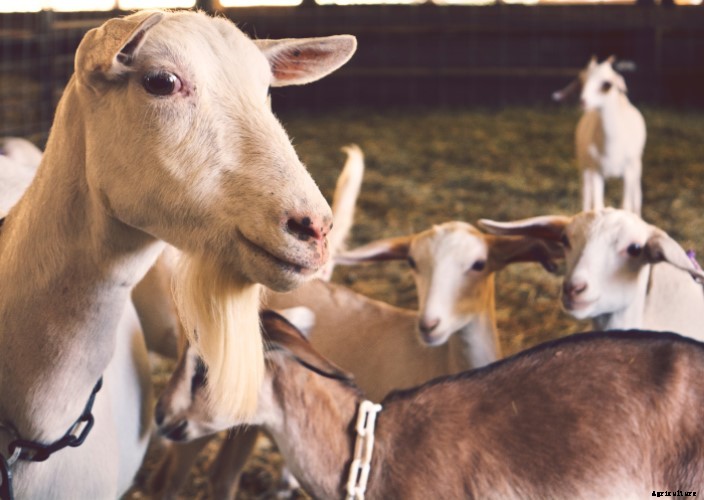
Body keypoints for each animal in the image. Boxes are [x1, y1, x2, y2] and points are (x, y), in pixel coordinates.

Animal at [556, 56, 646, 215]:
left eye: (607, 84)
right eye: (582, 80)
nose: (583, 101)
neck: (612, 146)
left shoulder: (629, 170)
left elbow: (626, 206)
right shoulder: (596, 169)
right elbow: (598, 205)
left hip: (636, 166)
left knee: (637, 195)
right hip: (584, 165)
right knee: (586, 194)